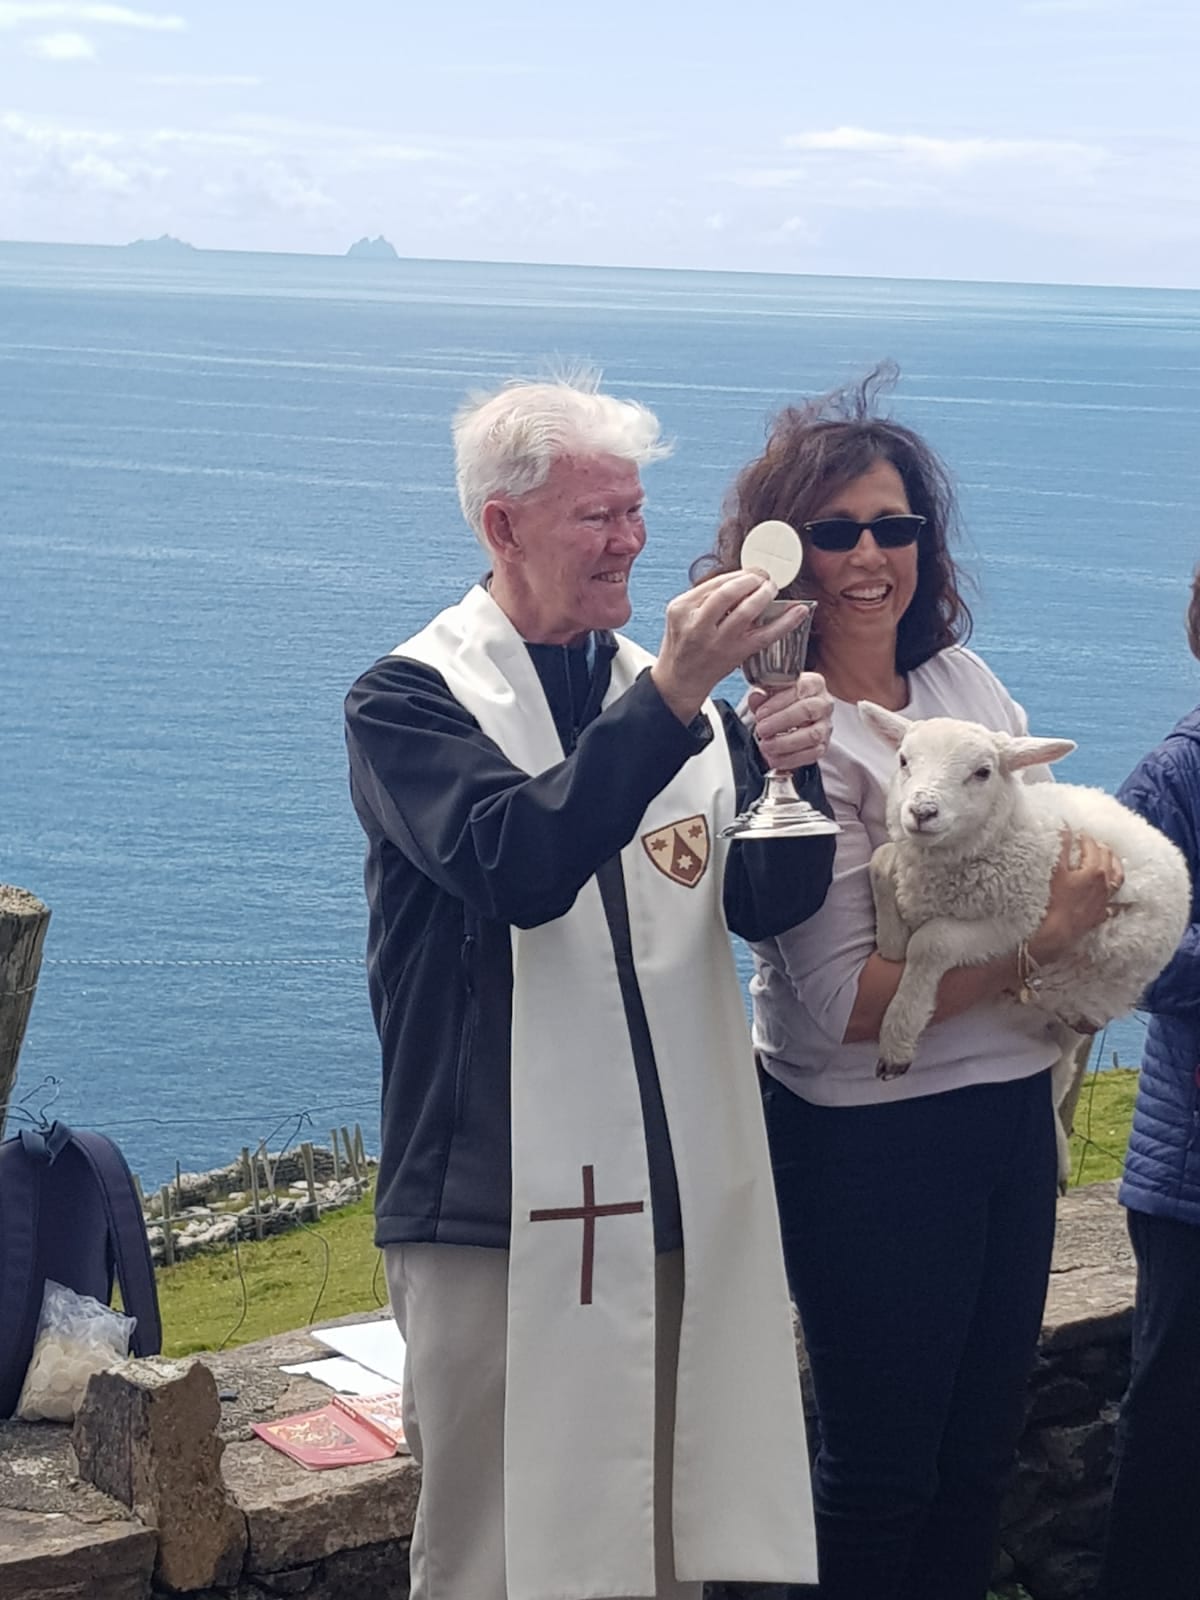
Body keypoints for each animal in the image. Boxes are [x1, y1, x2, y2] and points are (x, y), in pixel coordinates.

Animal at [864, 707, 1196, 1184]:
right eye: (904, 759)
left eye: (982, 772)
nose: (922, 812)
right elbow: (880, 860)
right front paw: (891, 938)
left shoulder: (1022, 918)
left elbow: (932, 941)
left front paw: (898, 1037)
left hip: (1074, 1012)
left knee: (1057, 1080)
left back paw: (1058, 1154)